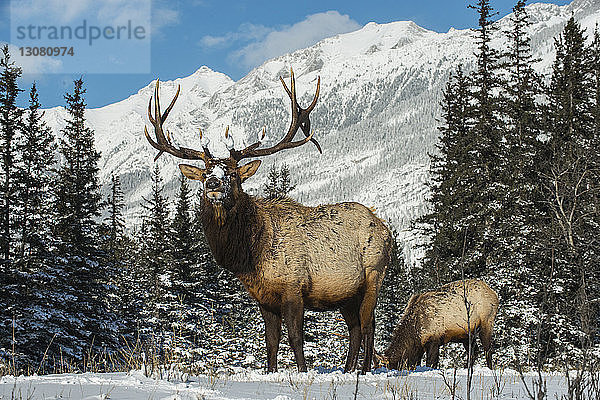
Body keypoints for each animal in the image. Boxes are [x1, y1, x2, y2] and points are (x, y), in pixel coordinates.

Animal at [143, 70, 392, 374]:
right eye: (204, 174)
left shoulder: (294, 288)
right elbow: (270, 340)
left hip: (373, 275)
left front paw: (302, 371)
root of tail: (385, 228)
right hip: (346, 293)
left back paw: (364, 370)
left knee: (369, 325)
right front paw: (271, 371)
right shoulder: (264, 298)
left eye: (233, 174)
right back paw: (347, 369)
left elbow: (296, 338)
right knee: (355, 328)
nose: (213, 184)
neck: (251, 254)